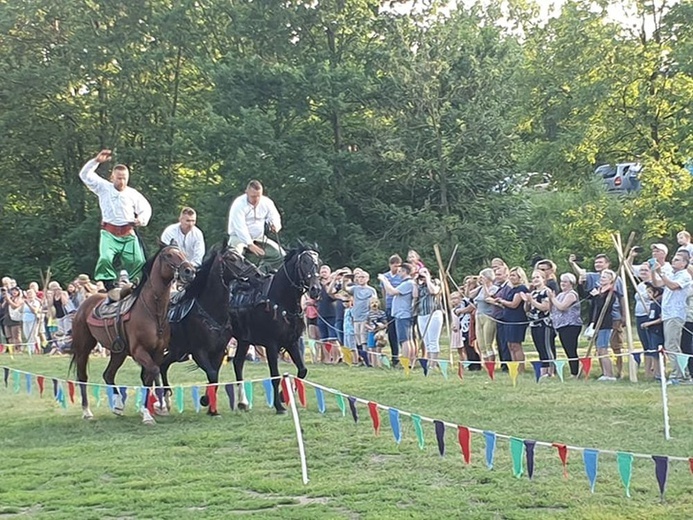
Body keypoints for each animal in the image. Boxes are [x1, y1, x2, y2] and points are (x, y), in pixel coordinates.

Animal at [70, 246, 193, 424]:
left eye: (183, 253)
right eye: (169, 255)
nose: (189, 271)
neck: (152, 311)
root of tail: (83, 305)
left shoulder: (157, 352)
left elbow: (149, 377)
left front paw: (150, 409)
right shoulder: (139, 351)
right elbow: (153, 372)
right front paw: (154, 409)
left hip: (118, 352)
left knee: (108, 374)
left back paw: (118, 406)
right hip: (83, 348)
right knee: (82, 376)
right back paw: (87, 411)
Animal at [159, 247, 241, 414]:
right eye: (231, 259)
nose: (257, 273)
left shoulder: (218, 352)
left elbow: (214, 377)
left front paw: (212, 409)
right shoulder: (199, 352)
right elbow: (212, 375)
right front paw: (205, 400)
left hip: (177, 351)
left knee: (163, 366)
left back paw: (167, 398)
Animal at [230, 245, 322, 414]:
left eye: (318, 262)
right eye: (304, 262)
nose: (316, 289)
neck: (280, 301)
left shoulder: (292, 342)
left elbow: (302, 370)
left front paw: (284, 396)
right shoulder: (271, 345)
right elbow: (276, 376)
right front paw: (279, 406)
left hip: (243, 340)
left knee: (238, 363)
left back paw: (243, 402)